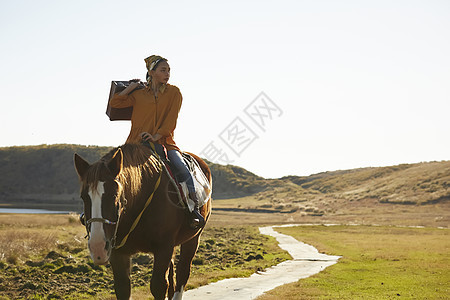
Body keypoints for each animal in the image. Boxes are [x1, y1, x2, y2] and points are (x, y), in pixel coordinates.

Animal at [74, 144, 213, 298]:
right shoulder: (118, 253)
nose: (97, 247)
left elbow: (158, 286)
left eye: (114, 195)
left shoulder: (163, 248)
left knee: (183, 272)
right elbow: (123, 288)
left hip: (193, 238)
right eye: (83, 197)